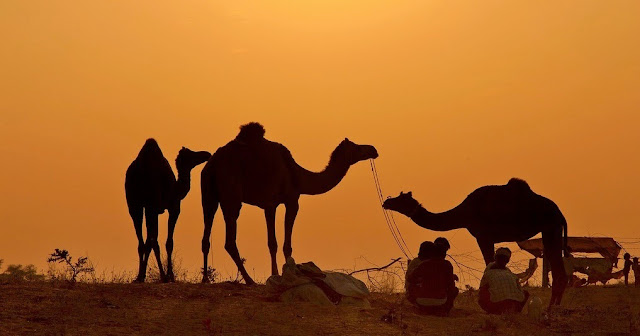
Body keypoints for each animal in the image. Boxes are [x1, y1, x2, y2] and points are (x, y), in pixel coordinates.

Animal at [126, 139, 211, 284]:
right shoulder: (173, 208)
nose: (207, 154)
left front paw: (143, 275)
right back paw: (162, 276)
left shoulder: (153, 209)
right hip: (148, 204)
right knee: (152, 241)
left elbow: (151, 240)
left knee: (142, 241)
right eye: (191, 154)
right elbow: (168, 243)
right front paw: (170, 275)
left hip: (135, 205)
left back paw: (139, 276)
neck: (175, 190)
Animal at [202, 122, 378, 284]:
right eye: (356, 147)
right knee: (229, 241)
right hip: (231, 196)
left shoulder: (271, 204)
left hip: (209, 196)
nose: (373, 149)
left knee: (206, 236)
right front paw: (284, 275)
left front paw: (277, 274)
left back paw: (205, 279)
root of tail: (212, 163)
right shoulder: (287, 201)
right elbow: (282, 244)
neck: (297, 175)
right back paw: (249, 280)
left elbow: (273, 243)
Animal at [382, 178, 568, 308]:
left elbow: (489, 264)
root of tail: (560, 214)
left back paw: (551, 308)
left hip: (550, 227)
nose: (386, 202)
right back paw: (555, 306)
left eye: (401, 199)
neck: (465, 212)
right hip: (551, 229)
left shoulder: (483, 236)